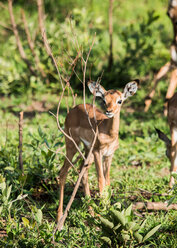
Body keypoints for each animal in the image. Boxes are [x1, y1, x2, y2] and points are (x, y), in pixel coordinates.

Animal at [57, 79, 139, 221]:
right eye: (104, 100)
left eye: (120, 100)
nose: (109, 111)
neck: (108, 133)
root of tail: (73, 110)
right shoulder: (97, 152)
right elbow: (101, 181)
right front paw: (105, 212)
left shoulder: (109, 155)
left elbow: (107, 182)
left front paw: (108, 211)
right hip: (72, 145)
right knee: (63, 173)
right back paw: (59, 216)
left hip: (87, 150)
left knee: (82, 172)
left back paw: (91, 212)